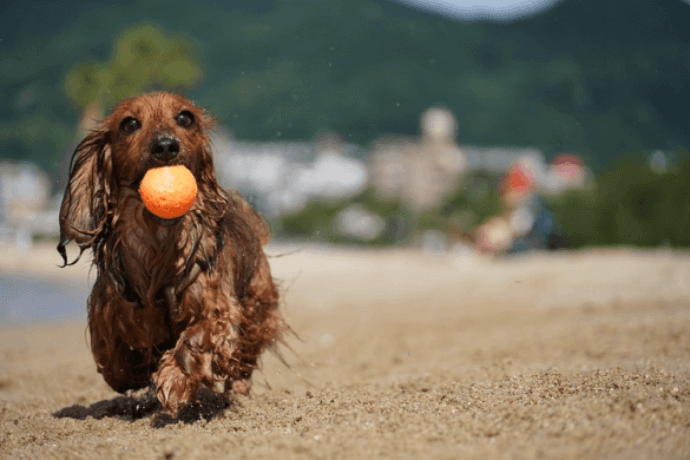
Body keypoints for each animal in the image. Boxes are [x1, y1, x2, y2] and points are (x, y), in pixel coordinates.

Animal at [57, 90, 284, 414]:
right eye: (129, 124)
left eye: (185, 118)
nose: (165, 145)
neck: (158, 240)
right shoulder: (108, 311)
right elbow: (114, 362)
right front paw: (137, 370)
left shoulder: (219, 308)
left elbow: (199, 335)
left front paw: (176, 378)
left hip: (256, 308)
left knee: (244, 358)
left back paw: (238, 388)